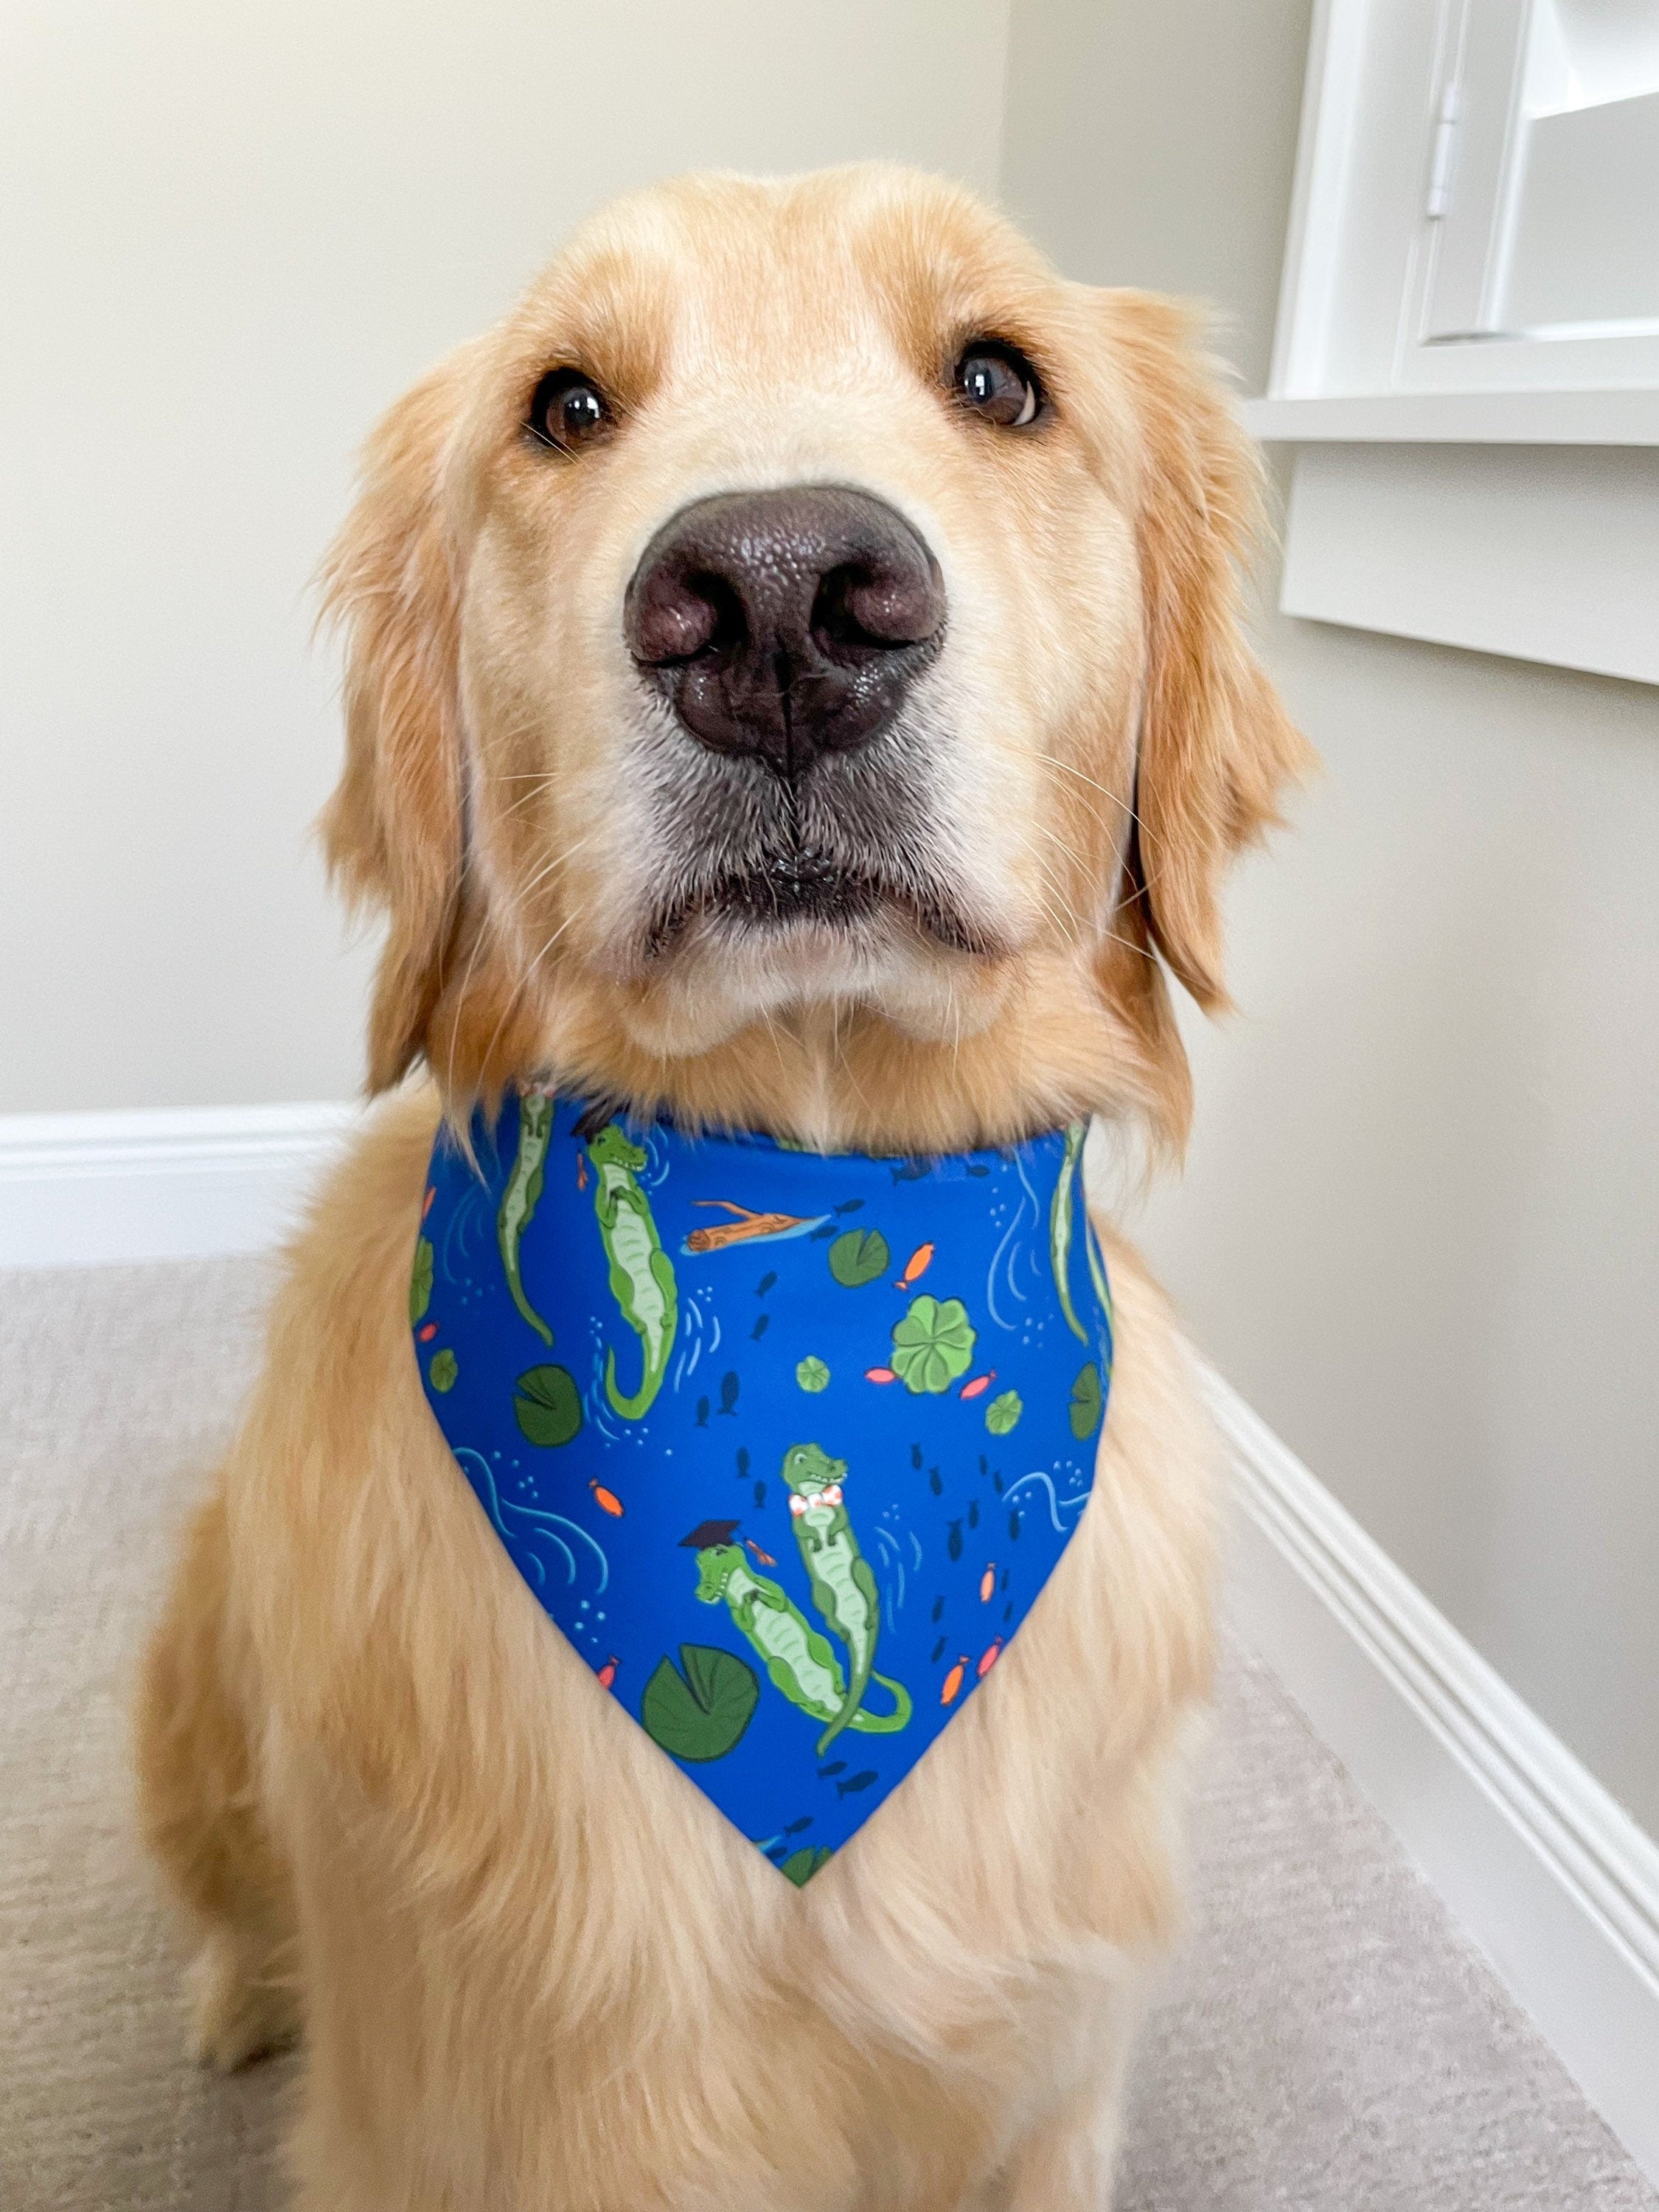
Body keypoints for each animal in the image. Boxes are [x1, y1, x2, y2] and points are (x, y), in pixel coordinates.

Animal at [139, 164, 1310, 2203]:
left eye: (999, 379)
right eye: (564, 408)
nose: (777, 599)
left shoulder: (1046, 2097)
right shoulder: (467, 2120)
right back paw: (231, 1993)